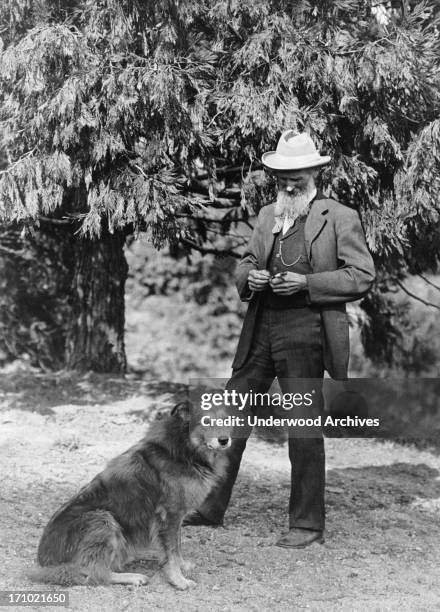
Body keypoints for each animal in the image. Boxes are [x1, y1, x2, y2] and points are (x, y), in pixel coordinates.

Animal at [29, 402, 232, 588]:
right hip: (102, 519)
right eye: (206, 421)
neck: (184, 447)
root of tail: (44, 563)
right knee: (95, 573)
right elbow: (172, 552)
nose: (224, 440)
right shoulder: (170, 514)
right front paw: (178, 580)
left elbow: (177, 546)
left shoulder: (175, 517)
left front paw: (182, 566)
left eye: (226, 420)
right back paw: (132, 577)